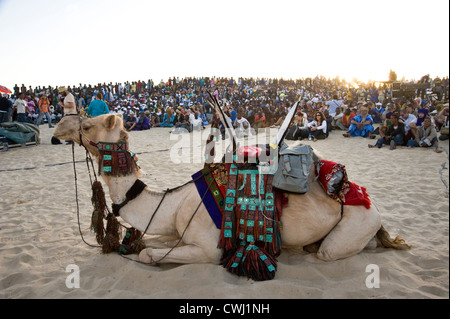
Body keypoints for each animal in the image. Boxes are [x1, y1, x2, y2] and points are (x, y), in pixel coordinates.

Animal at [54, 114, 410, 268]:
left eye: (86, 125)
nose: (58, 128)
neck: (173, 203)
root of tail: (370, 203)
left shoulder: (208, 246)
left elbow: (148, 253)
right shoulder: (176, 231)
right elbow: (149, 241)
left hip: (355, 225)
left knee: (332, 251)